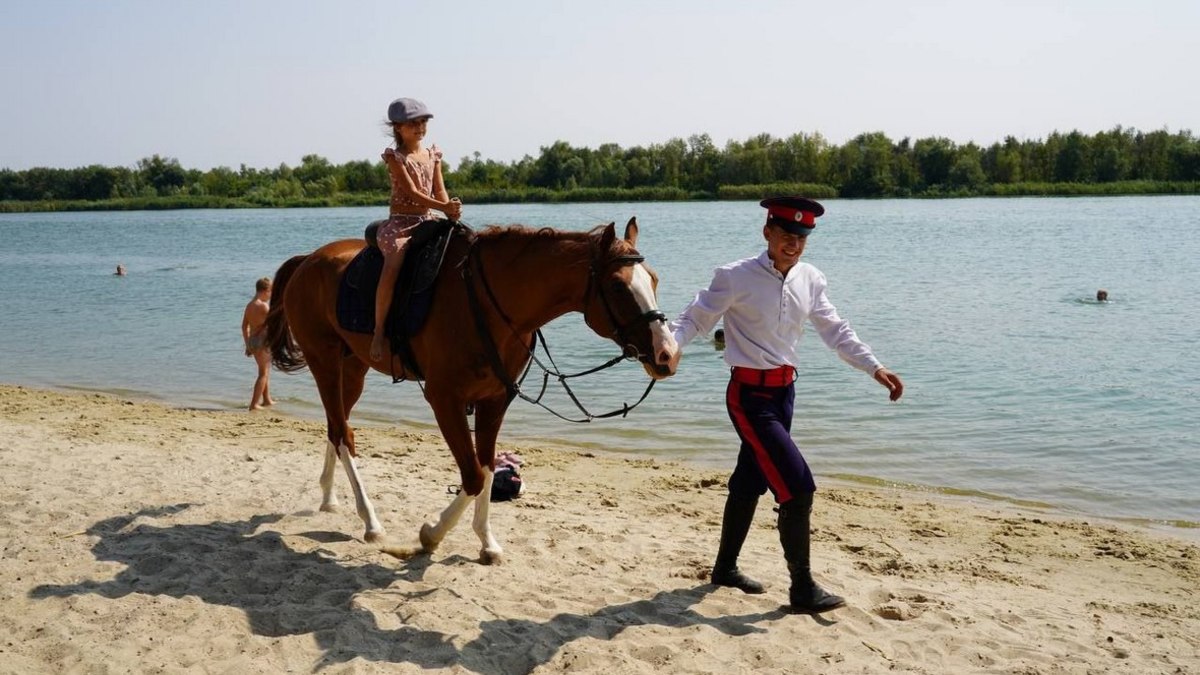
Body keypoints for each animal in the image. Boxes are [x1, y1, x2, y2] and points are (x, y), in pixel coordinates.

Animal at [266, 216, 681, 562]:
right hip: (324, 362)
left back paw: (329, 496)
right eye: (617, 285)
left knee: (336, 428)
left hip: (353, 368)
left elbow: (485, 465)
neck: (490, 305)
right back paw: (370, 521)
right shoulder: (445, 400)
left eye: (654, 279)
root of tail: (308, 260)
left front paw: (487, 541)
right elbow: (474, 476)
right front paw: (431, 534)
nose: (667, 353)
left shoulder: (495, 399)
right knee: (343, 433)